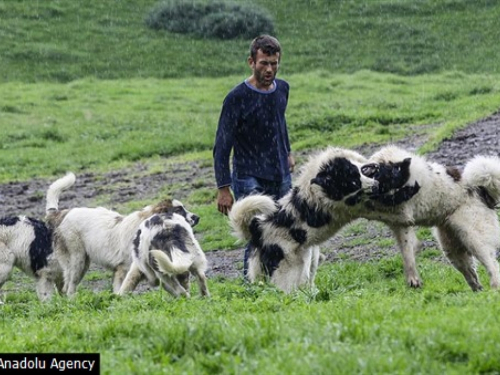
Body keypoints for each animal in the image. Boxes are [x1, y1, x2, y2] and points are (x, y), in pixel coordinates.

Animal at [45, 172, 199, 298]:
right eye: (178, 210)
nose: (197, 217)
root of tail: (62, 213)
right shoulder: (124, 268)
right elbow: (124, 287)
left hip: (81, 263)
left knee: (64, 284)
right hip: (77, 260)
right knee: (69, 286)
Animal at [229, 148, 376, 294]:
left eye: (356, 174)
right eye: (353, 182)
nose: (376, 185)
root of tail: (258, 229)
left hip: (309, 257)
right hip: (291, 268)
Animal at [362, 145, 500, 292]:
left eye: (395, 182)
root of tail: (480, 191)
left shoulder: (402, 211)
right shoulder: (399, 223)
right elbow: (407, 252)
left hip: (474, 238)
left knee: (492, 265)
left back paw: (494, 288)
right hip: (452, 249)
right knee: (472, 276)